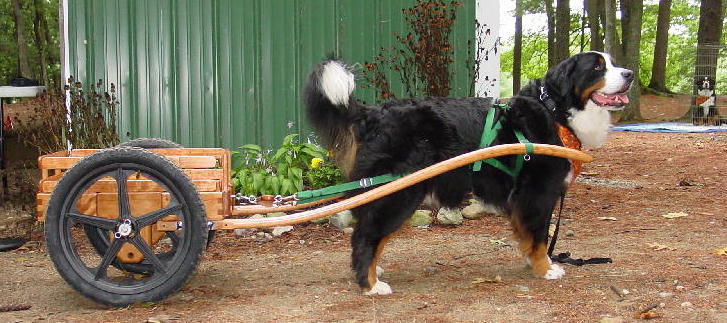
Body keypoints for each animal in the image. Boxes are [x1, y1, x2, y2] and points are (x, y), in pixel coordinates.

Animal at [304, 51, 636, 296]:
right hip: (401, 192)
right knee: (366, 235)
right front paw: (546, 268)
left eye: (613, 62)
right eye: (597, 66)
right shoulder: (538, 193)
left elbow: (528, 235)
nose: (630, 74)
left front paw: (532, 261)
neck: (553, 110)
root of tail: (374, 113)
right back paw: (370, 283)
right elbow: (541, 235)